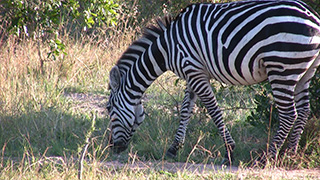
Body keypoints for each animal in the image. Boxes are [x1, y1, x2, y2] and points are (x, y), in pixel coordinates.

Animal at [107, 0, 320, 164]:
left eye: (109, 109)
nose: (112, 147)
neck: (167, 48)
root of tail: (313, 17)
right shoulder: (192, 72)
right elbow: (185, 110)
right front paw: (174, 148)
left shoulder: (193, 70)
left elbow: (213, 110)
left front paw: (229, 151)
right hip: (304, 72)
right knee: (303, 111)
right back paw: (290, 155)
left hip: (281, 67)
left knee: (288, 114)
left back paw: (267, 157)